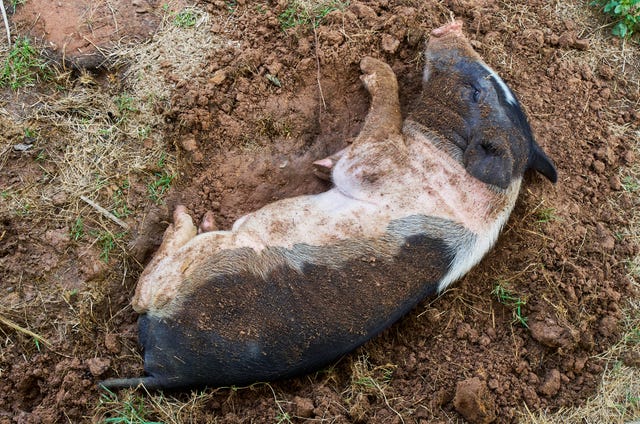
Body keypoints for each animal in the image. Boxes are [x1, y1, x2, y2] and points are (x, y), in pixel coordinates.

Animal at [100, 19, 556, 390]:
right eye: (485, 84)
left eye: (475, 91)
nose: (452, 25)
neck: (455, 165)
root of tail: (169, 373)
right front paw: (322, 164)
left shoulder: (379, 162)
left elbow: (378, 127)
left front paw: (372, 63)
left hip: (200, 266)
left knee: (147, 288)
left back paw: (188, 217)